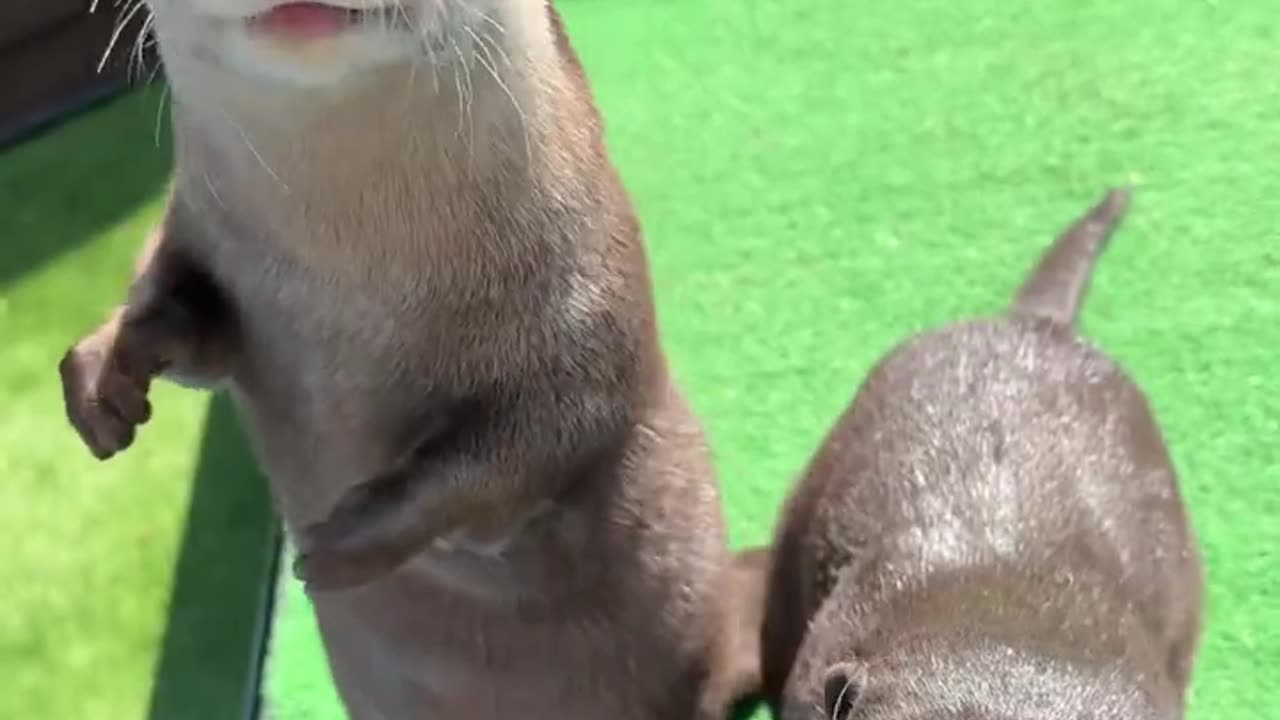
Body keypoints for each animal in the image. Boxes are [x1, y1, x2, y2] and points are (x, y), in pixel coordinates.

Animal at [57, 2, 742, 712]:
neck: (345, 291)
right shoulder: (194, 225)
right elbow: (185, 317)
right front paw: (105, 370)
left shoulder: (593, 311)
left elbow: (539, 444)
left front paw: (341, 546)